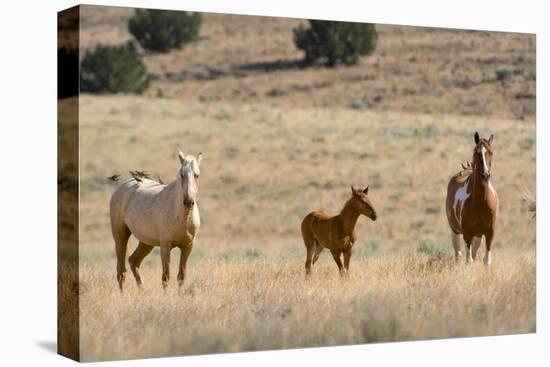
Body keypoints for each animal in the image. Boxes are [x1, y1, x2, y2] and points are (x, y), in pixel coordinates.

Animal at [110, 152, 203, 290]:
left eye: (197, 175)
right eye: (182, 174)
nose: (188, 202)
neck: (182, 218)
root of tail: (122, 186)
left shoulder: (188, 246)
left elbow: (181, 276)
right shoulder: (165, 246)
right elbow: (166, 276)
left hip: (146, 242)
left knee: (134, 261)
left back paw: (142, 289)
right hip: (120, 236)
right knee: (121, 272)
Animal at [448, 134, 500, 266]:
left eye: (491, 152)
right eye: (477, 153)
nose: (485, 175)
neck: (481, 203)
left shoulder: (489, 233)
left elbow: (486, 261)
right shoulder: (467, 233)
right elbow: (469, 261)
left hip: (478, 235)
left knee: (473, 253)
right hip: (455, 230)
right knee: (458, 254)